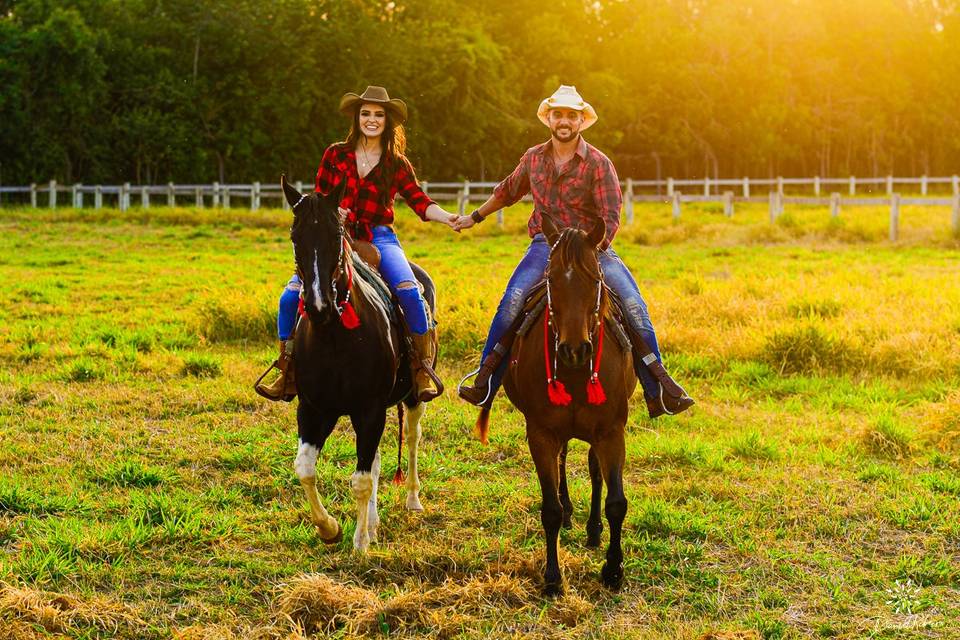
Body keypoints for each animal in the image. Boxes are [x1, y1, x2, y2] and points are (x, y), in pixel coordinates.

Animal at [282, 175, 432, 552]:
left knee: (412, 439)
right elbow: (305, 468)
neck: (334, 335)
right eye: (295, 236)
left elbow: (361, 479)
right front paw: (330, 528)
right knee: (376, 461)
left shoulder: (369, 410)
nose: (318, 305)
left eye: (336, 236)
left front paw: (360, 542)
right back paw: (374, 523)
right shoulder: (315, 409)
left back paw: (412, 499)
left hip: (412, 399)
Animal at [478, 218, 636, 596]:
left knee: (594, 470)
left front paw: (613, 570)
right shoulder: (541, 434)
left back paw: (593, 530)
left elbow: (616, 502)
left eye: (595, 279)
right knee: (564, 460)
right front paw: (552, 577)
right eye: (550, 279)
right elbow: (548, 508)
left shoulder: (611, 432)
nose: (574, 350)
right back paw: (568, 513)